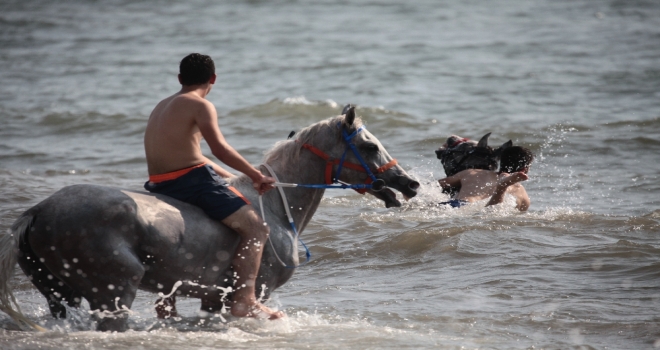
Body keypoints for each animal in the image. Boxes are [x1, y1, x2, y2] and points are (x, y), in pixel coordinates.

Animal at [0, 108, 418, 330]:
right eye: (369, 146)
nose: (409, 184)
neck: (275, 207)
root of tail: (39, 210)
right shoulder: (253, 292)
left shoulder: (210, 301)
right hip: (115, 292)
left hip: (61, 296)